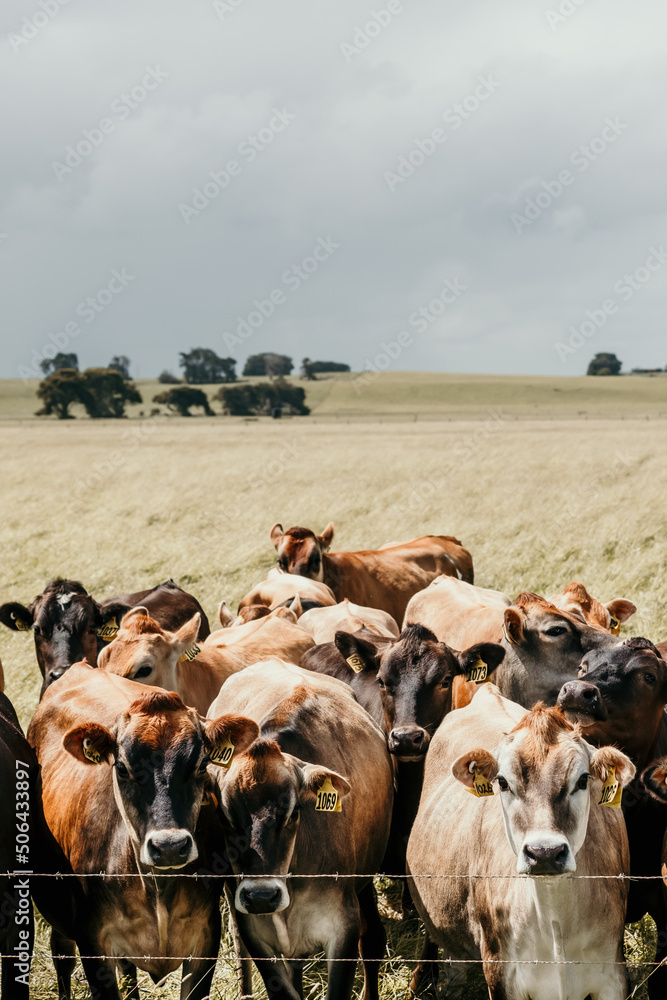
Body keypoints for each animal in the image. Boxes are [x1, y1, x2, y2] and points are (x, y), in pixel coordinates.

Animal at [28, 663, 259, 1000]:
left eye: (202, 765)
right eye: (122, 768)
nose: (170, 846)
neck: (156, 887)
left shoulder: (205, 938)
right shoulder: (92, 943)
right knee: (62, 957)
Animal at [207, 659, 393, 1000]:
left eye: (293, 813)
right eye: (224, 817)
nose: (261, 896)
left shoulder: (343, 927)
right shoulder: (255, 932)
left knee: (372, 940)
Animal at [407, 685, 635, 1000]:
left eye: (583, 780)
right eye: (502, 782)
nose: (545, 853)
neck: (555, 922)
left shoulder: (613, 975)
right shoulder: (501, 973)